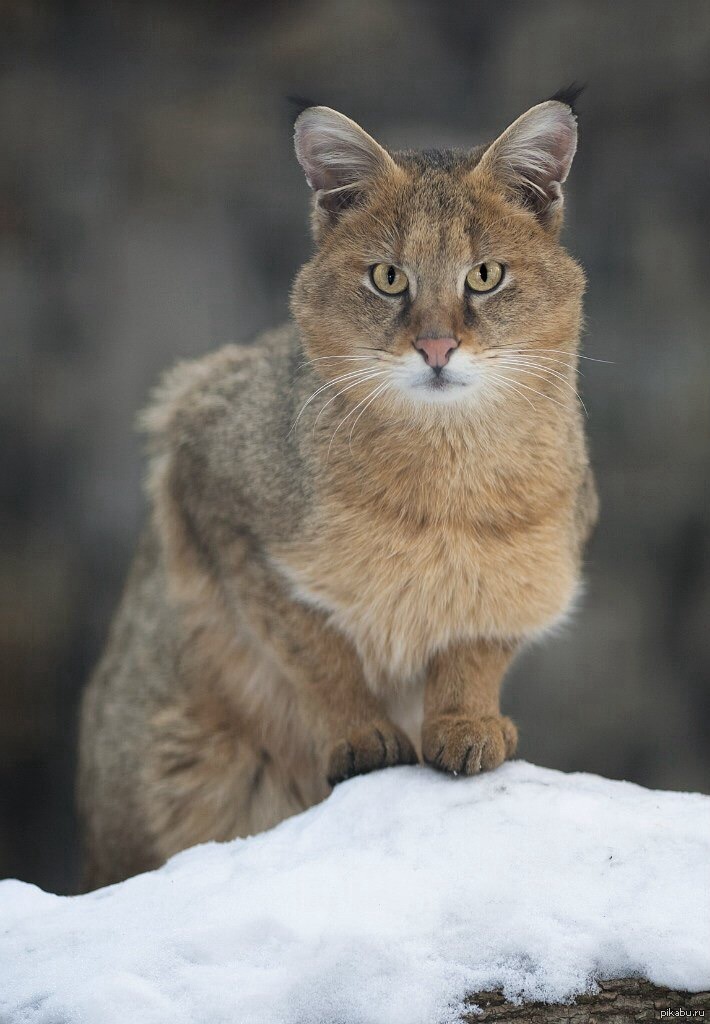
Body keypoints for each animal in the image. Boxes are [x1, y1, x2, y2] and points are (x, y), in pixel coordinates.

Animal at [78, 90, 598, 888]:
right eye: (388, 278)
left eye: (485, 275)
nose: (438, 346)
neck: (445, 482)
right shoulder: (206, 476)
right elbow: (315, 647)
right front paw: (362, 734)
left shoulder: (534, 569)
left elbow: (475, 642)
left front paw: (465, 722)